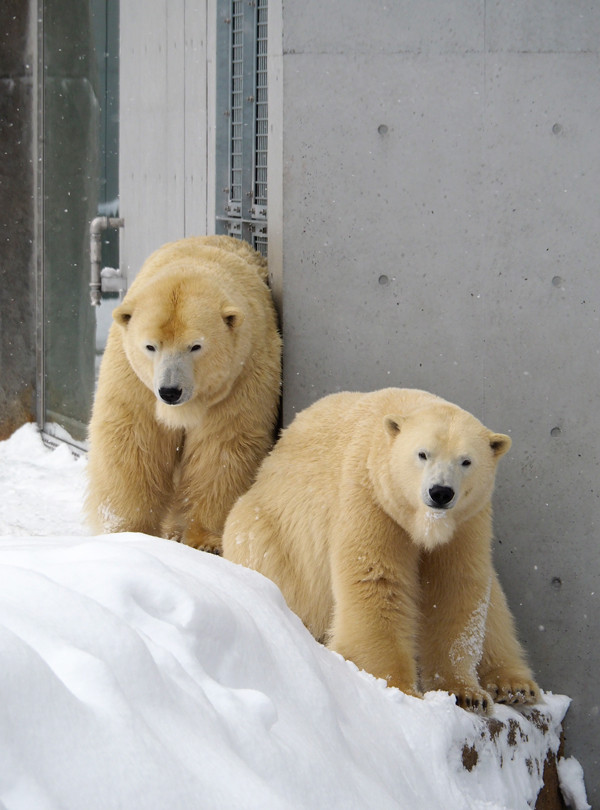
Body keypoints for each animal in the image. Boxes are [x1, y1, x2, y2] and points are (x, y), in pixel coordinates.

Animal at [85, 234, 282, 548]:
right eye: (150, 346)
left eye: (195, 346)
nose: (170, 391)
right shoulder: (133, 378)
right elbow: (133, 439)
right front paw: (130, 532)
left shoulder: (242, 376)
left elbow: (222, 447)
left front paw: (205, 540)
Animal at [223, 388, 540, 712]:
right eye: (422, 454)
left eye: (466, 461)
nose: (440, 492)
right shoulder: (371, 498)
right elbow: (377, 579)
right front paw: (400, 688)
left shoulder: (466, 522)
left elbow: (455, 589)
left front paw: (467, 693)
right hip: (271, 538)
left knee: (496, 606)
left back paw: (515, 686)